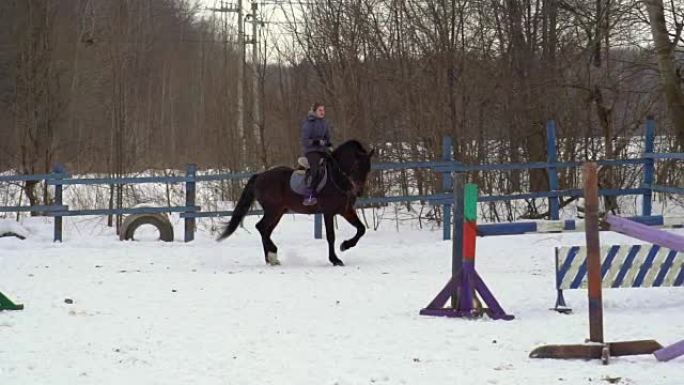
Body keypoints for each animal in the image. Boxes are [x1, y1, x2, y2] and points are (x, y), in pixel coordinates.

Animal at [218, 140, 374, 266]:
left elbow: (361, 229)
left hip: (278, 212)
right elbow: (331, 236)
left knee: (266, 230)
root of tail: (260, 176)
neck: (337, 179)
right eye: (356, 166)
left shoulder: (346, 210)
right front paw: (335, 260)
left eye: (368, 168)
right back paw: (273, 254)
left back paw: (271, 259)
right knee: (261, 227)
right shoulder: (328, 212)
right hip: (273, 210)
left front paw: (345, 245)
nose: (359, 192)